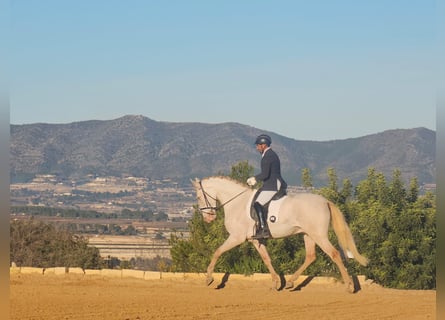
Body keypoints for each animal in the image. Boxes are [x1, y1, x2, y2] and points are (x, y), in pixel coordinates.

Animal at [191, 175, 368, 292]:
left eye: (199, 197)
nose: (208, 218)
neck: (237, 203)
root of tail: (324, 201)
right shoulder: (256, 240)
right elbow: (266, 259)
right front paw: (276, 283)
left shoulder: (236, 237)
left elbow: (217, 252)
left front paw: (209, 279)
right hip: (308, 234)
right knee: (311, 256)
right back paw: (290, 282)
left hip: (319, 235)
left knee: (334, 254)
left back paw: (349, 286)